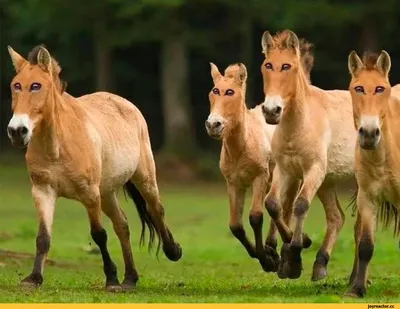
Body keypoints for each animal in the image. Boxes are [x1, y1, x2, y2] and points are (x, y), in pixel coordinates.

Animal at [6, 44, 181, 290]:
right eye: (16, 85)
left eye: (36, 85)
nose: (16, 131)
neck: (57, 146)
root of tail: (125, 103)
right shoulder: (43, 191)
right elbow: (43, 237)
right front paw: (33, 279)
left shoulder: (89, 194)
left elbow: (99, 234)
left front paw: (111, 278)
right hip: (106, 192)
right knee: (122, 225)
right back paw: (130, 278)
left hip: (144, 178)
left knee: (156, 209)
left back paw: (172, 251)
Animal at [205, 62, 280, 270]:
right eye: (214, 91)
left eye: (230, 92)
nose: (213, 124)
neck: (243, 145)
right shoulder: (234, 183)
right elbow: (235, 226)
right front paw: (262, 254)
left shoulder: (260, 177)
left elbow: (255, 216)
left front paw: (267, 260)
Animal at [260, 30, 356, 280]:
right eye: (267, 65)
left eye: (288, 66)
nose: (271, 111)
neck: (299, 124)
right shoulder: (285, 169)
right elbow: (273, 204)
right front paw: (296, 244)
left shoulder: (313, 170)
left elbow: (300, 205)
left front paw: (295, 252)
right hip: (328, 182)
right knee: (336, 217)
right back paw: (320, 265)